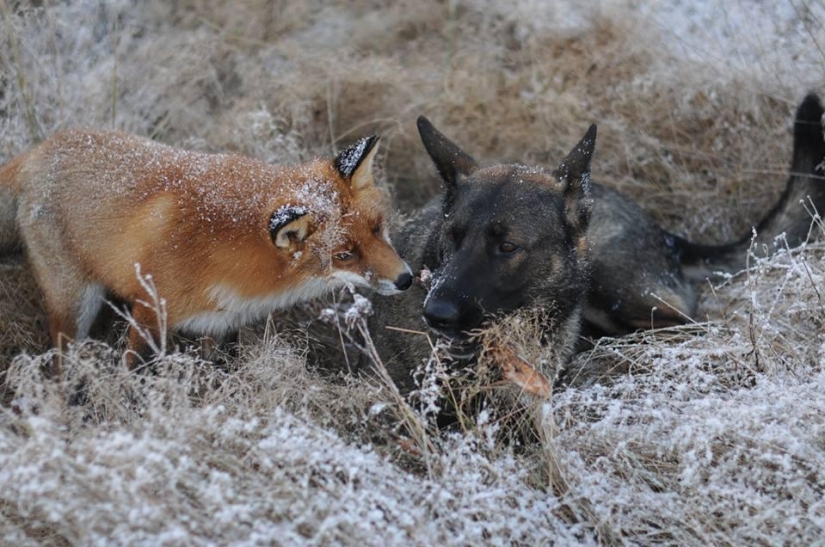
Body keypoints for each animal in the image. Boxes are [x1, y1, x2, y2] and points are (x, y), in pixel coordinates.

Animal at [0, 130, 413, 365]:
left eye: (378, 229)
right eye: (344, 255)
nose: (407, 279)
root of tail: (38, 151)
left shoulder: (225, 323)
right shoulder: (151, 310)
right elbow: (132, 373)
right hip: (74, 304)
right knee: (60, 365)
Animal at [369, 94, 825, 393]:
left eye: (508, 247)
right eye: (451, 238)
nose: (435, 314)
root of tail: (664, 234)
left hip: (613, 283)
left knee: (691, 324)